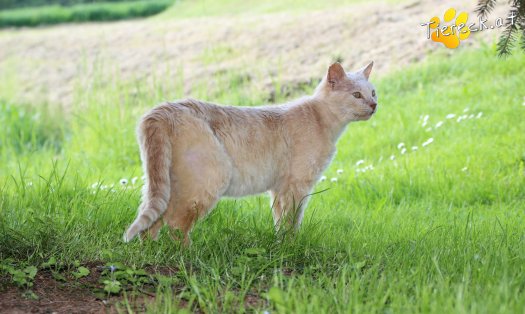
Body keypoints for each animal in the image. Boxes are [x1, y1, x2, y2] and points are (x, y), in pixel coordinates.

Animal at [123, 60, 376, 244]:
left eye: (373, 92)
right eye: (356, 95)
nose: (374, 105)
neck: (321, 120)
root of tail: (161, 110)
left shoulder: (279, 189)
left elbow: (280, 220)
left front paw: (281, 244)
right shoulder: (296, 187)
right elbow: (292, 220)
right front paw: (291, 246)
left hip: (165, 185)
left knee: (152, 221)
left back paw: (151, 250)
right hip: (207, 180)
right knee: (175, 224)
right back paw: (186, 255)